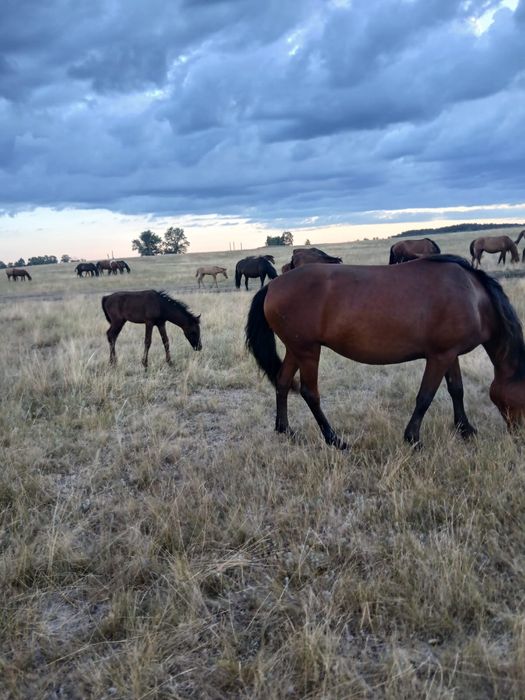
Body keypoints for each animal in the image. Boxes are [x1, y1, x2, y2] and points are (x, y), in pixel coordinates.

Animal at [245, 255, 525, 449]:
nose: (519, 436)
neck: (473, 298)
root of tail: (272, 286)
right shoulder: (439, 357)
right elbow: (425, 397)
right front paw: (413, 439)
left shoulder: (449, 353)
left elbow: (456, 389)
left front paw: (465, 429)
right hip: (308, 351)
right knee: (309, 393)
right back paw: (334, 440)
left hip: (296, 349)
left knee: (282, 382)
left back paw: (285, 430)